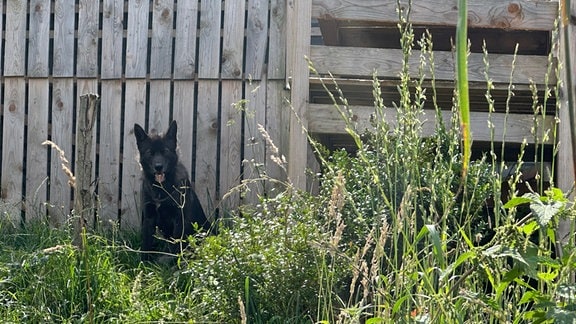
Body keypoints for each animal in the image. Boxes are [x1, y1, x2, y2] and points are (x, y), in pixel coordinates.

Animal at [134, 121, 210, 260]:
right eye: (149, 152)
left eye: (165, 151)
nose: (158, 167)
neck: (162, 189)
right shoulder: (149, 218)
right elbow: (146, 245)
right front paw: (143, 263)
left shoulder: (179, 220)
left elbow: (176, 246)